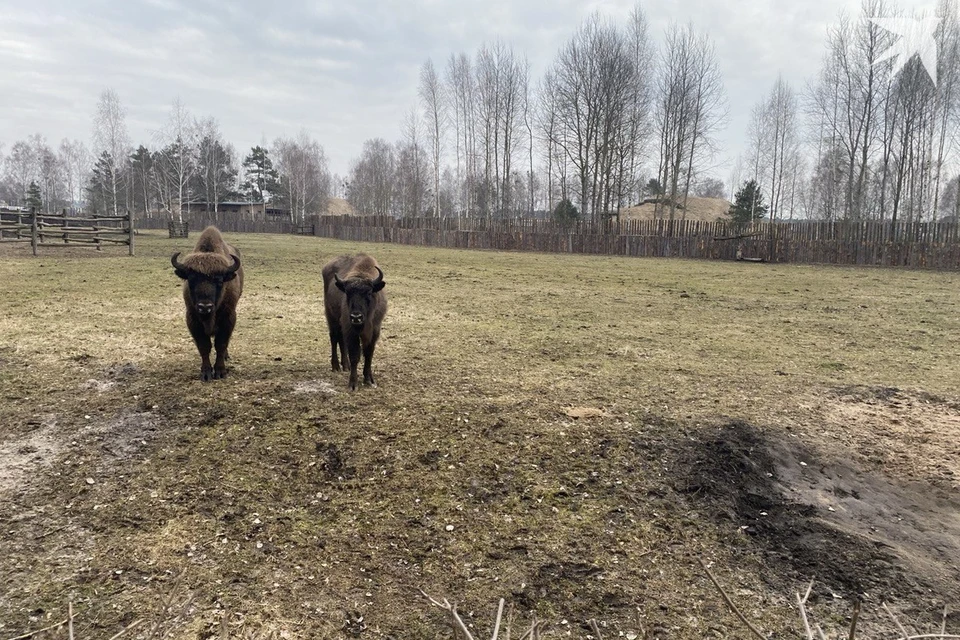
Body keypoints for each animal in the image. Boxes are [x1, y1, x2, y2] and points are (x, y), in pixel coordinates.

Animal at [171, 225, 244, 380]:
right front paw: (206, 373)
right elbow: (204, 346)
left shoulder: (228, 318)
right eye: (191, 280)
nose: (205, 307)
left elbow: (221, 344)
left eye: (220, 281)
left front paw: (220, 372)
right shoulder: (193, 320)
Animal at [324, 255, 388, 390]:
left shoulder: (374, 331)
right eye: (348, 293)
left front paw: (369, 380)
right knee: (334, 338)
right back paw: (336, 366)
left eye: (369, 292)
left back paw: (345, 366)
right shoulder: (351, 330)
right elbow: (355, 355)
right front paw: (353, 384)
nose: (356, 317)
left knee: (341, 340)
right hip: (331, 317)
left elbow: (368, 355)